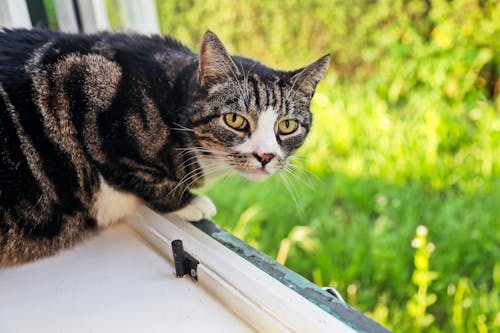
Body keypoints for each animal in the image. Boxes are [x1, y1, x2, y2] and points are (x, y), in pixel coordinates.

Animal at [0, 29, 332, 264]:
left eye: (287, 126)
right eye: (235, 120)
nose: (265, 155)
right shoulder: (87, 94)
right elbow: (143, 178)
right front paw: (191, 202)